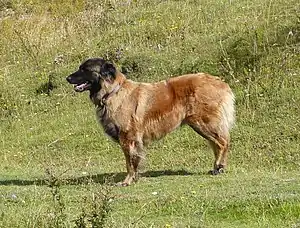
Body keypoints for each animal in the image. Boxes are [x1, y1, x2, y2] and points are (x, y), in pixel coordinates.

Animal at [67, 58, 236, 186]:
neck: (113, 91)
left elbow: (129, 163)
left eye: (85, 69)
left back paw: (219, 166)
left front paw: (127, 181)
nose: (67, 78)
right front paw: (134, 178)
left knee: (223, 143)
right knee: (217, 144)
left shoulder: (127, 138)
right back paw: (217, 168)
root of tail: (220, 82)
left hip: (203, 123)